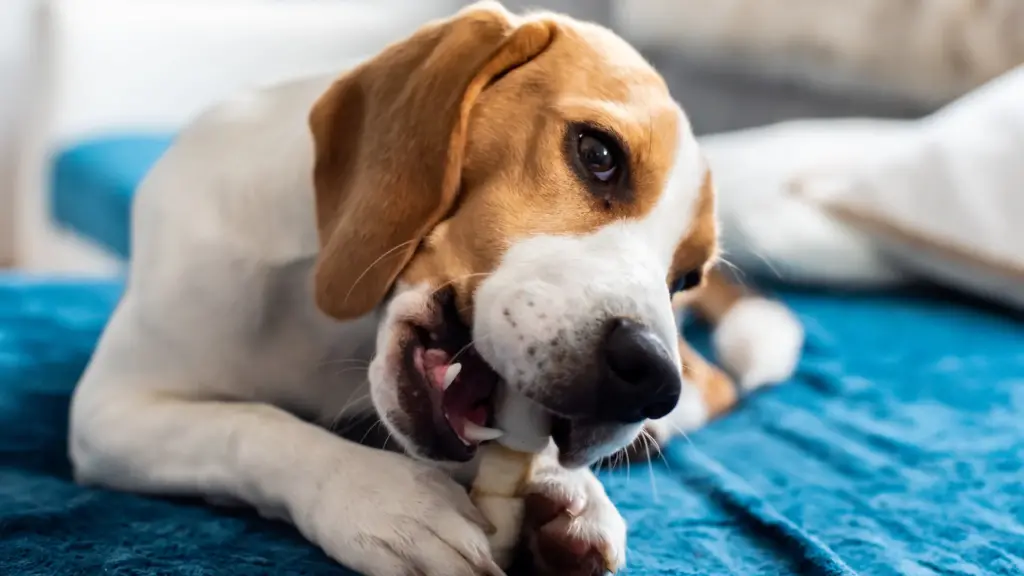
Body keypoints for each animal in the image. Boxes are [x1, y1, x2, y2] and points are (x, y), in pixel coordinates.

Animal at [68, 2, 802, 569]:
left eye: (684, 276)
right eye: (598, 154)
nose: (650, 379)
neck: (331, 329)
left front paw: (570, 489)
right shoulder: (111, 411)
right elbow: (252, 426)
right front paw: (382, 499)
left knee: (716, 385)